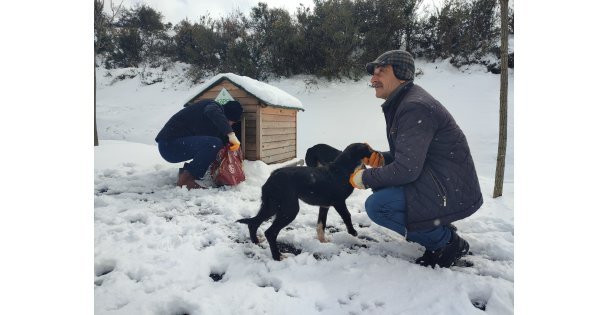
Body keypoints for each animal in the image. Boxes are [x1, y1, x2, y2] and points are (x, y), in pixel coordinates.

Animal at [239, 143, 376, 262]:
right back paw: (278, 256)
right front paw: (353, 232)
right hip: (289, 209)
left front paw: (323, 242)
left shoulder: (324, 206)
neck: (342, 169)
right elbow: (347, 215)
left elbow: (321, 225)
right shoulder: (339, 202)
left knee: (253, 223)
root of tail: (271, 178)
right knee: (270, 232)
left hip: (271, 206)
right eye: (368, 149)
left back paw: (256, 242)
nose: (377, 153)